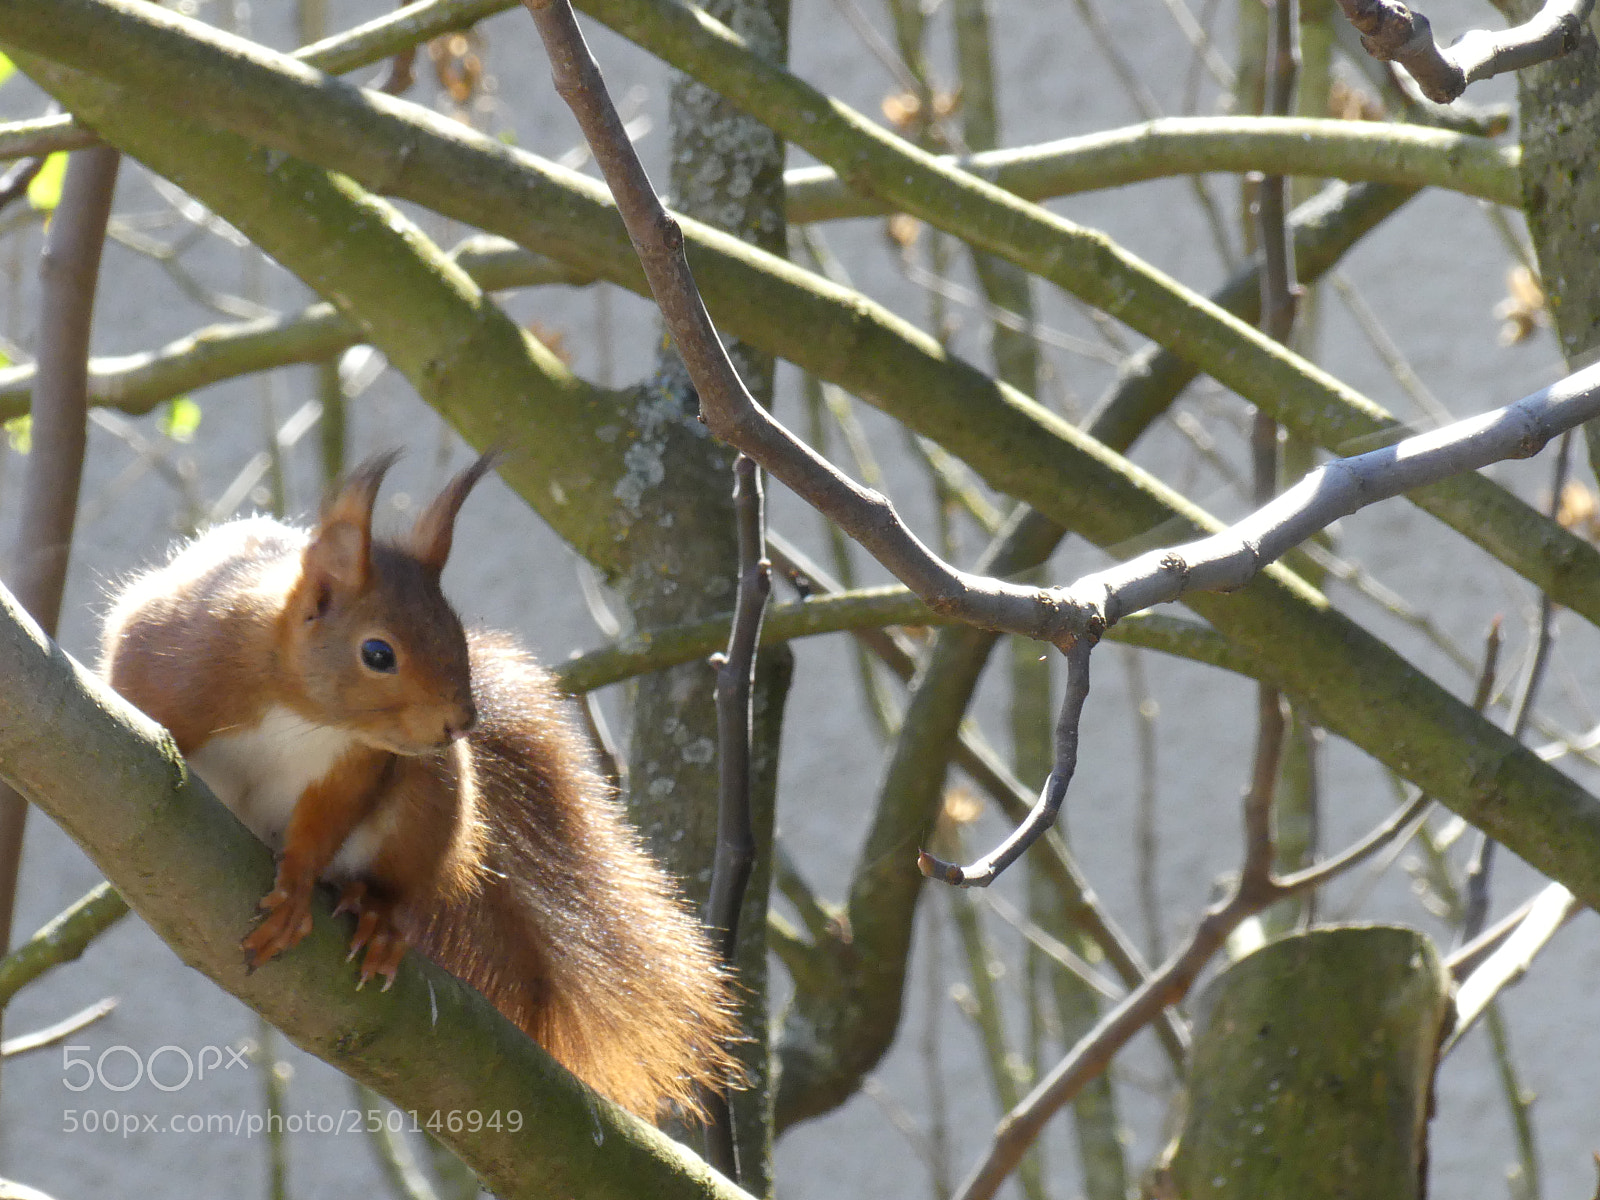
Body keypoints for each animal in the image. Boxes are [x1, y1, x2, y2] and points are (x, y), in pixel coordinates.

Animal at [99, 450, 738, 1119]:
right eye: (378, 653)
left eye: (457, 633)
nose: (462, 721)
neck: (303, 709)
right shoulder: (170, 669)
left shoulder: (355, 767)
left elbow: (322, 826)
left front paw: (297, 888)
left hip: (429, 800)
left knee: (400, 880)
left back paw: (377, 914)